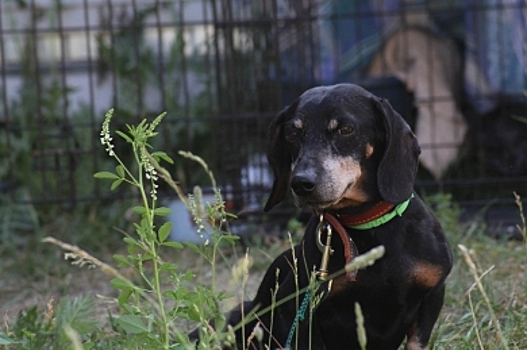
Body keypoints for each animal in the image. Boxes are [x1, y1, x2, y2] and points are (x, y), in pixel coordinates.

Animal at [200, 84, 452, 350]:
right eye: (292, 133)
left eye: (345, 129)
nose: (301, 183)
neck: (367, 225)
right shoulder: (302, 311)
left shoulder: (431, 297)